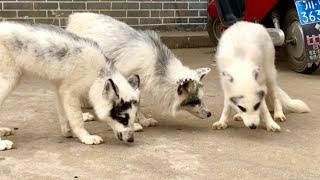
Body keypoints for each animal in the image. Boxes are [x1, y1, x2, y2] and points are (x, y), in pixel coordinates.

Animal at [0, 21, 140, 150]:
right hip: (8, 81)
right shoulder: (69, 93)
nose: (131, 140)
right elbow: (76, 118)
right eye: (123, 119)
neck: (98, 73)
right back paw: (2, 144)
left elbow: (64, 115)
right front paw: (86, 137)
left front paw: (66, 131)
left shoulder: (60, 90)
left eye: (132, 118)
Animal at [67, 12, 212, 128]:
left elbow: (138, 101)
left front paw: (143, 120)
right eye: (195, 101)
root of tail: (75, 16)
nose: (210, 114)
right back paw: (83, 114)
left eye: (201, 99)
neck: (156, 62)